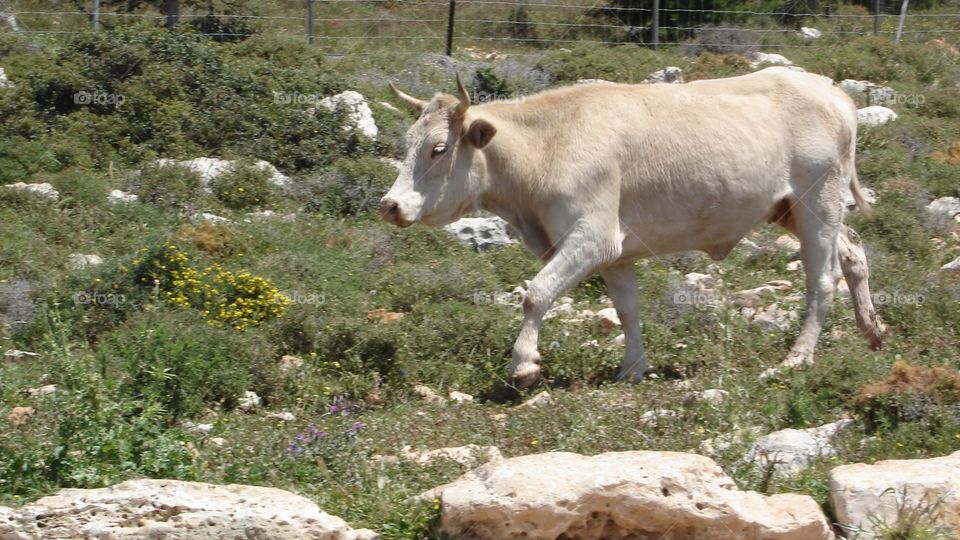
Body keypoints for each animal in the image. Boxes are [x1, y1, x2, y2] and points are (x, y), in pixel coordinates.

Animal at [378, 68, 888, 388]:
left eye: (439, 149)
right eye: (407, 143)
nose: (390, 205)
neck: (547, 148)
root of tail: (832, 91)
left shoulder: (592, 236)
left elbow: (536, 293)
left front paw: (524, 366)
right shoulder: (615, 251)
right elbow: (627, 310)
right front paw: (633, 369)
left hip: (817, 202)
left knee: (822, 279)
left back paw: (795, 359)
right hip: (791, 210)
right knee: (853, 251)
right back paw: (873, 331)